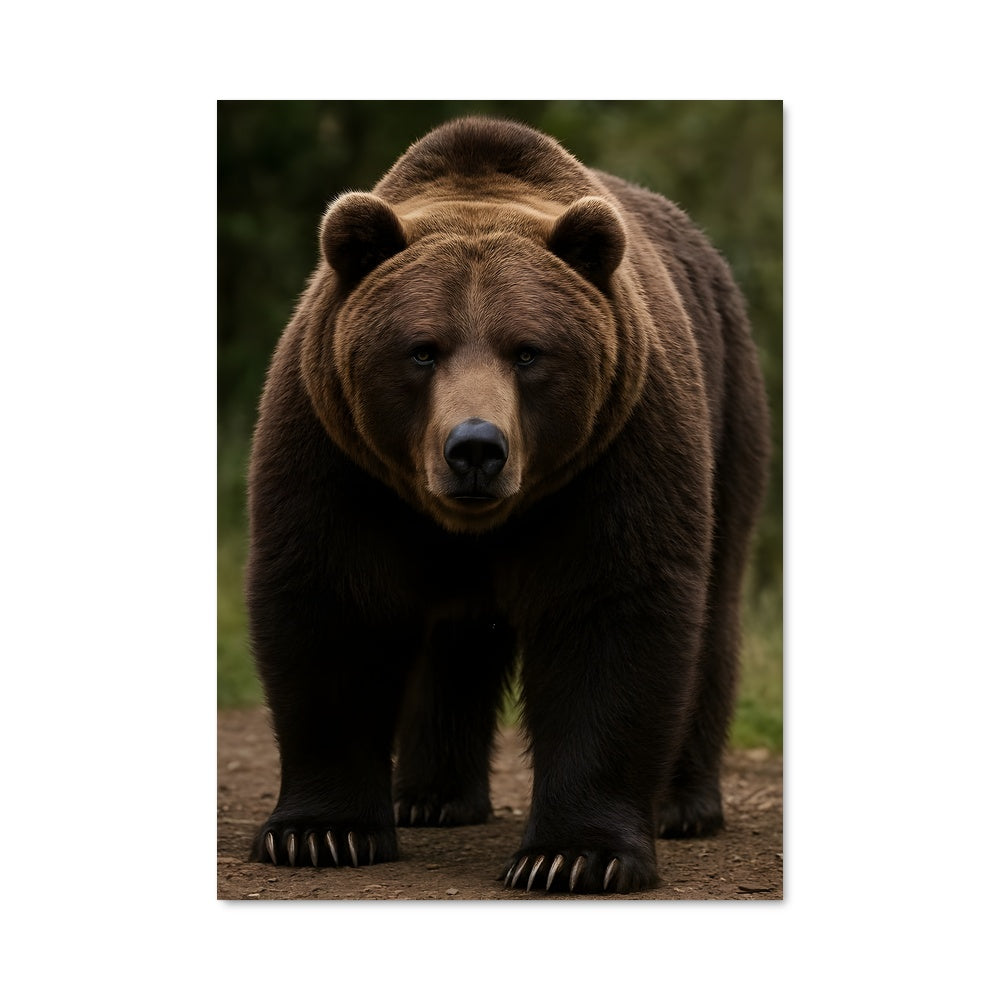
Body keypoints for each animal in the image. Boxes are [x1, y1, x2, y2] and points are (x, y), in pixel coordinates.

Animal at [245, 117, 770, 893]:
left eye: (528, 351)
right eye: (421, 350)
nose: (475, 447)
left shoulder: (616, 454)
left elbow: (611, 613)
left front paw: (573, 856)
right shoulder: (336, 456)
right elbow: (332, 604)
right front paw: (319, 832)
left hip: (729, 407)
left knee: (713, 603)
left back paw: (682, 804)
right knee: (455, 636)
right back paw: (429, 797)